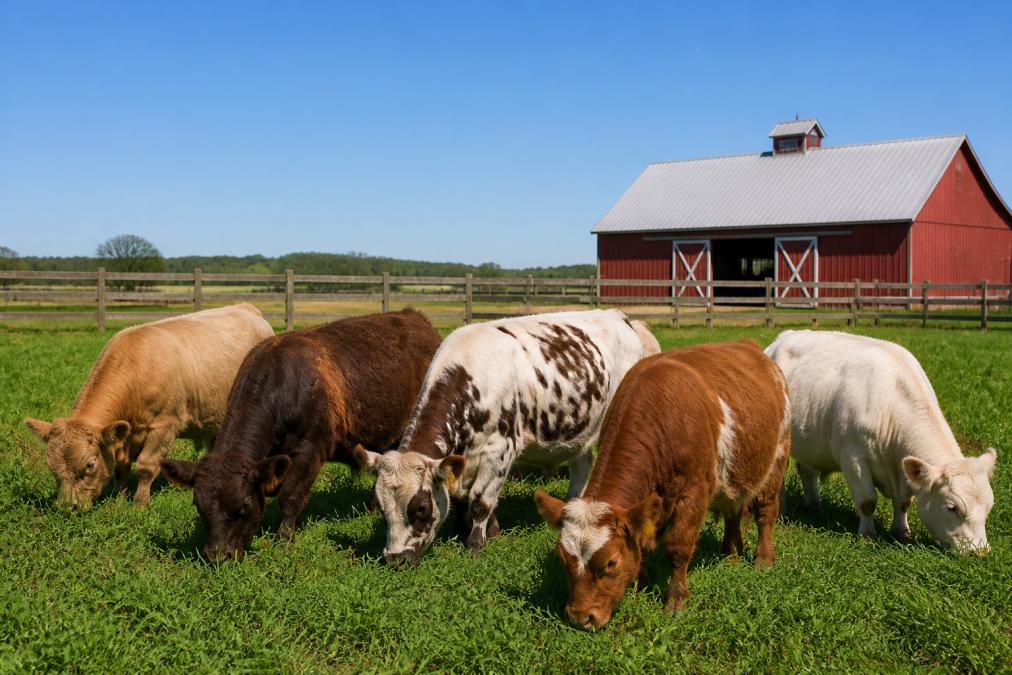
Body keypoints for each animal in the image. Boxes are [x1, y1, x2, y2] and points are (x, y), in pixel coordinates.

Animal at [24, 303, 274, 511]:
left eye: (89, 464)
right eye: (52, 468)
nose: (68, 508)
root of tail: (246, 308)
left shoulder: (164, 426)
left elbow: (145, 467)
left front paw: (139, 504)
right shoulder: (124, 436)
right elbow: (121, 469)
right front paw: (120, 499)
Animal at [159, 309, 442, 562]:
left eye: (245, 505)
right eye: (199, 506)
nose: (217, 555)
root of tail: (416, 318)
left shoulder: (309, 449)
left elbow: (290, 497)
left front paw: (284, 539)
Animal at [355, 308, 661, 568]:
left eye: (420, 508)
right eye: (381, 508)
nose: (396, 559)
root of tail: (619, 316)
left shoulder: (500, 450)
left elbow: (480, 501)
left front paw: (475, 544)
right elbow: (464, 499)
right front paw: (476, 530)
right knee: (582, 466)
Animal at [535, 340, 790, 630]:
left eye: (611, 563)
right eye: (563, 559)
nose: (580, 617)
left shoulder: (694, 494)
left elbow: (678, 549)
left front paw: (676, 601)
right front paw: (641, 585)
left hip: (778, 457)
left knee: (765, 513)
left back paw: (763, 559)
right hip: (735, 476)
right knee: (733, 512)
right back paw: (730, 555)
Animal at [765, 330, 997, 554]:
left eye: (989, 506)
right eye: (951, 507)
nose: (979, 552)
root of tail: (782, 337)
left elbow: (903, 503)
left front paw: (902, 531)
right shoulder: (853, 458)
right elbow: (867, 501)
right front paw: (867, 535)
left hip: (810, 444)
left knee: (807, 472)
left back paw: (816, 508)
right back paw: (781, 510)